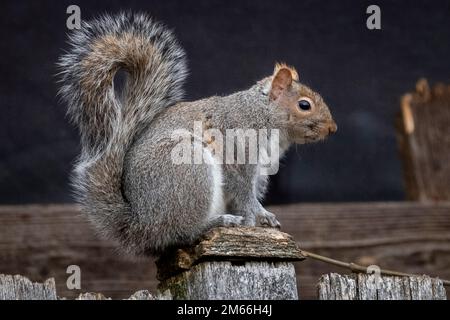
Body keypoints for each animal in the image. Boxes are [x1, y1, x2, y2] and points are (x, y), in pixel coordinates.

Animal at [58, 12, 336, 256]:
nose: (332, 128)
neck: (262, 114)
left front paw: (260, 217)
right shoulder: (239, 153)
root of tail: (142, 223)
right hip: (190, 171)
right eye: (304, 105)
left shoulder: (261, 170)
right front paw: (257, 217)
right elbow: (243, 192)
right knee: (183, 232)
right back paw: (219, 221)